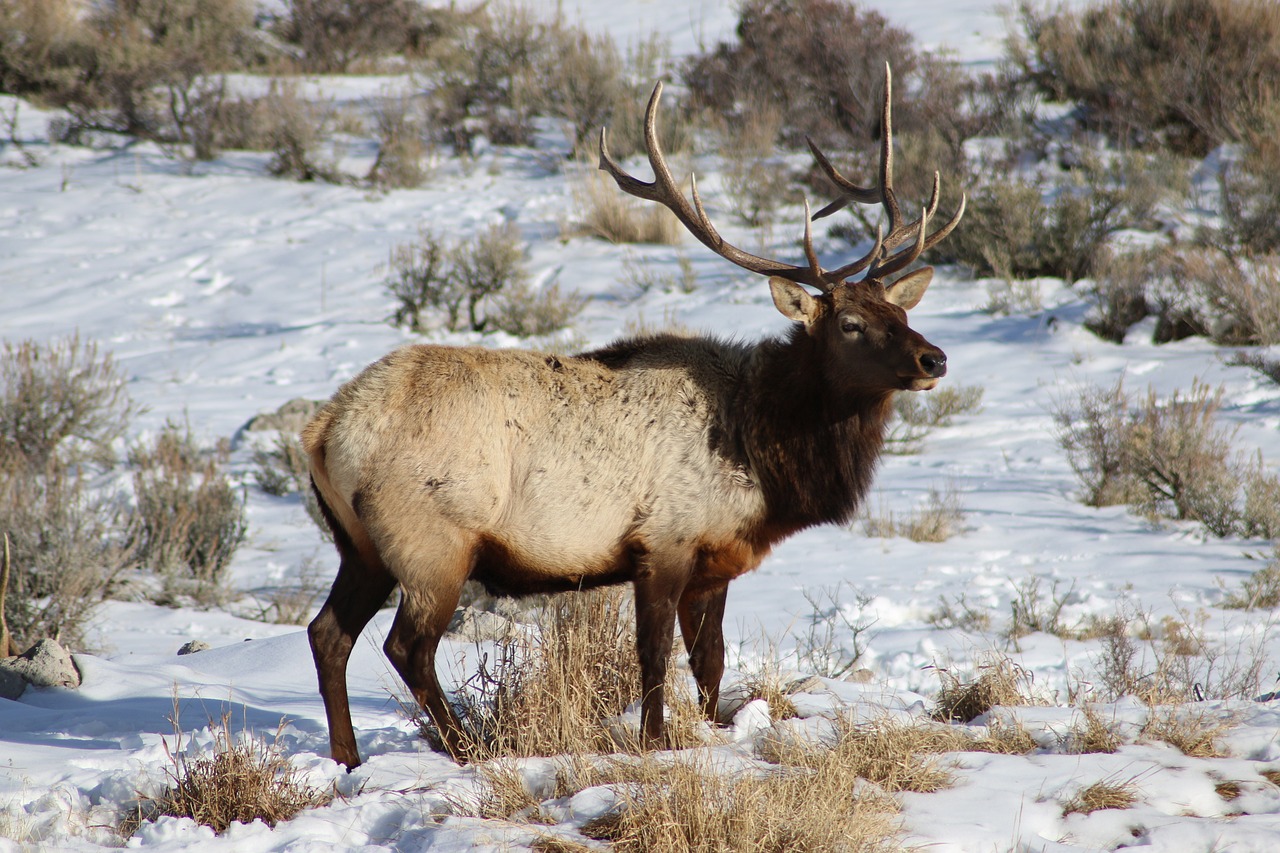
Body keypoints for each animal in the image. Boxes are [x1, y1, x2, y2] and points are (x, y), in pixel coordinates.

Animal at [302, 66, 962, 763]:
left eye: (902, 312)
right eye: (850, 324)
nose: (934, 358)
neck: (763, 453)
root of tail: (323, 430)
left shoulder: (714, 558)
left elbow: (710, 661)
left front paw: (709, 731)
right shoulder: (663, 540)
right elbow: (654, 654)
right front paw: (655, 740)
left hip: (360, 545)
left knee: (327, 634)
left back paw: (348, 760)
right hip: (433, 539)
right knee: (407, 646)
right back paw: (466, 747)